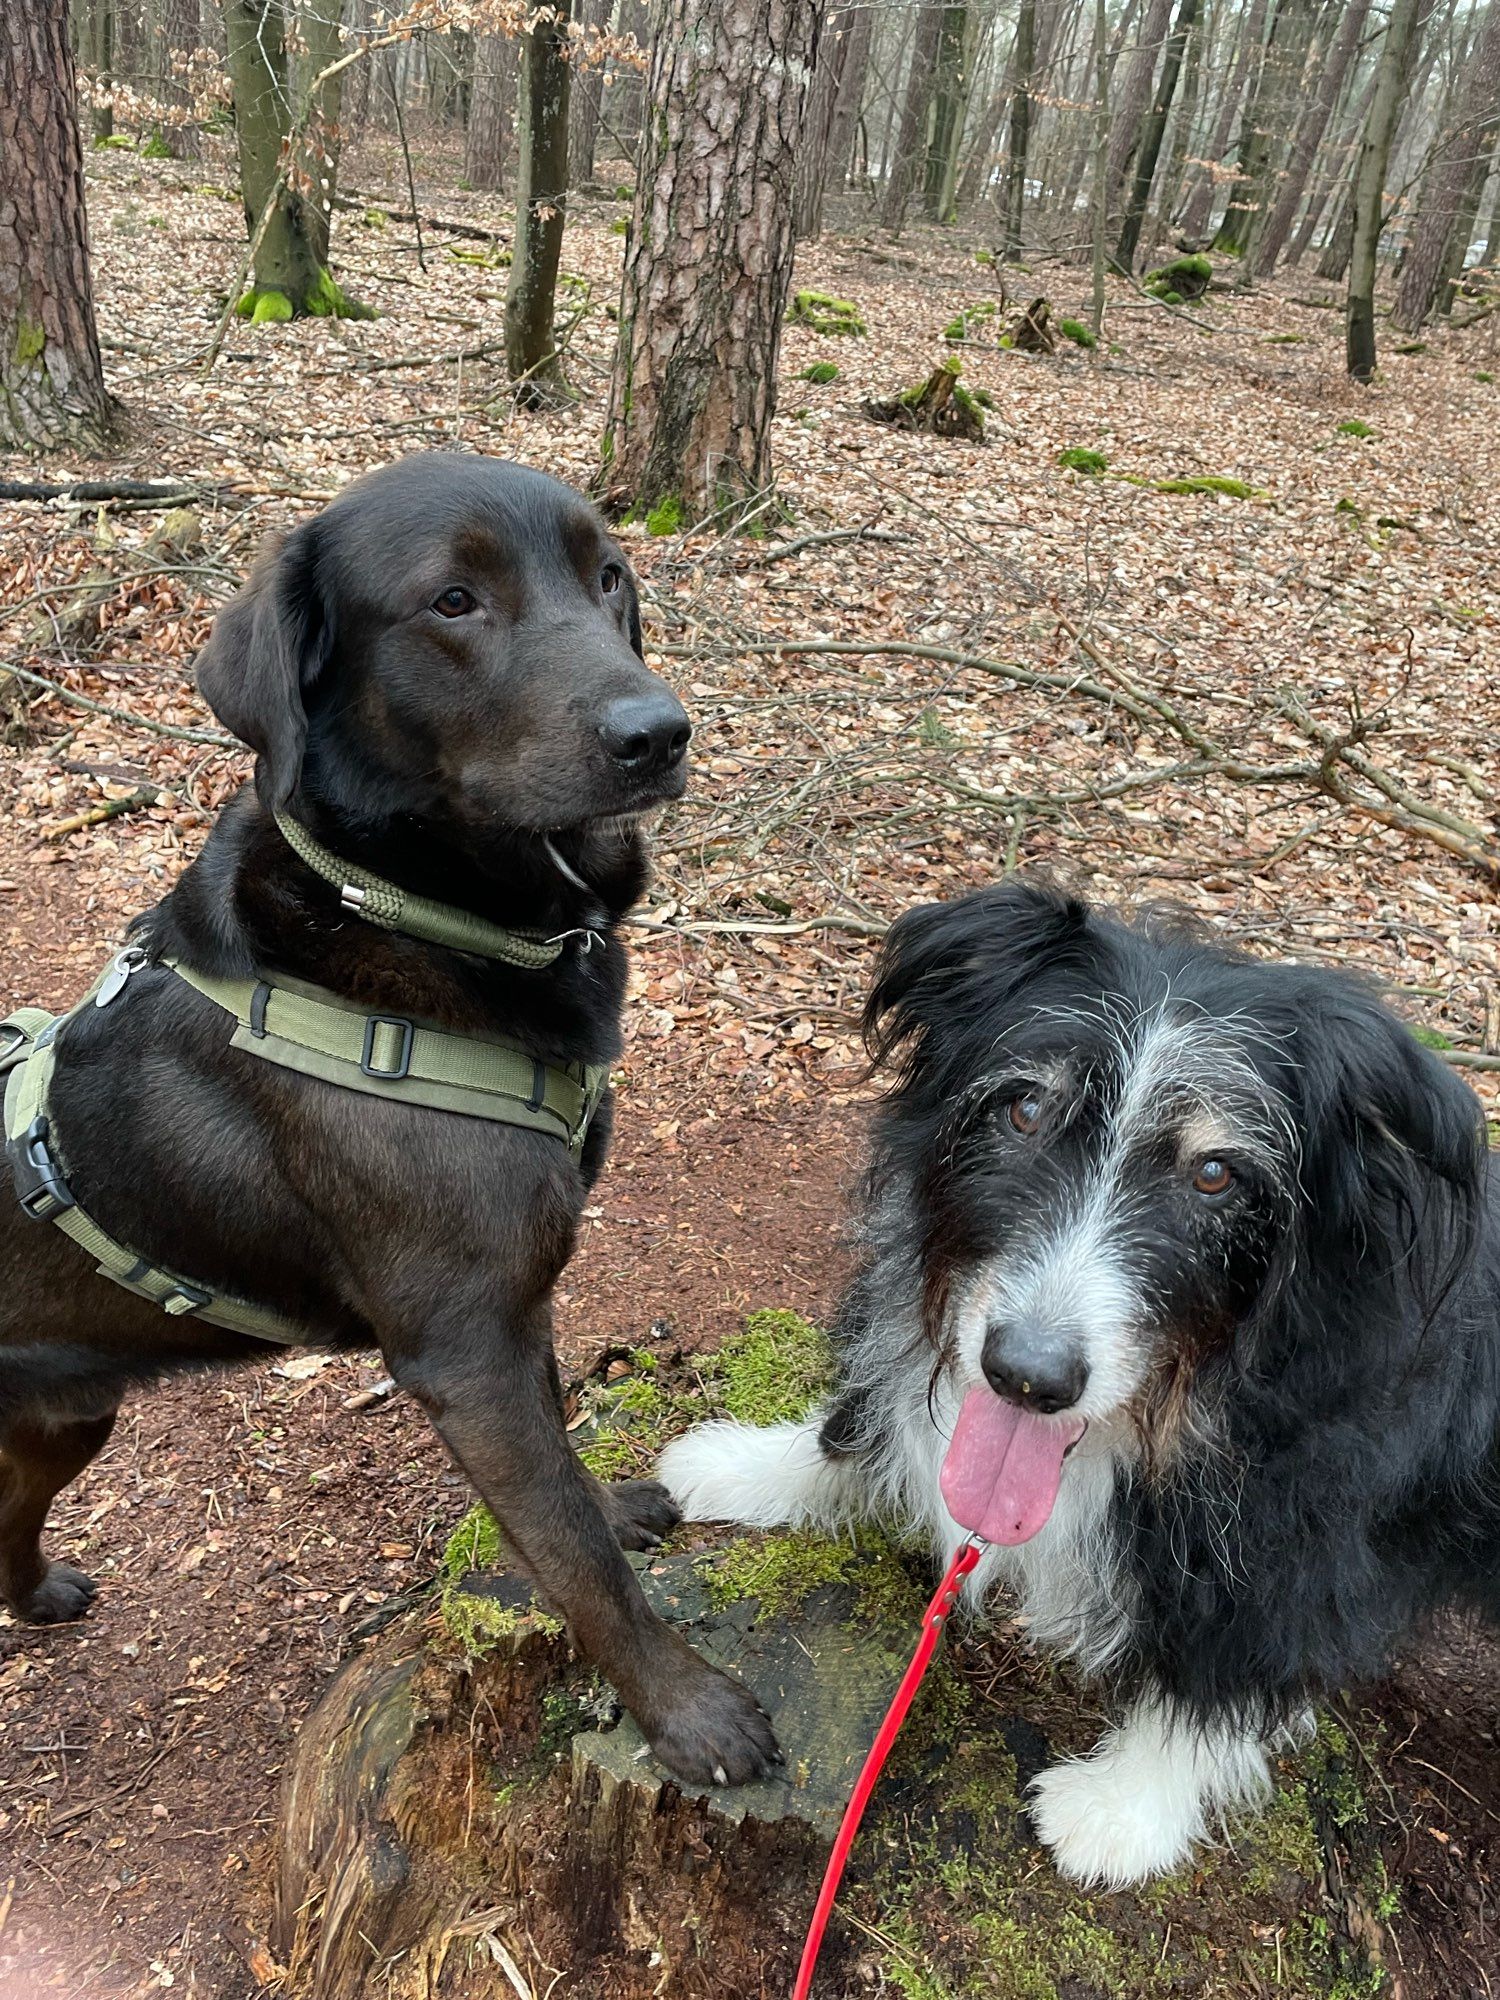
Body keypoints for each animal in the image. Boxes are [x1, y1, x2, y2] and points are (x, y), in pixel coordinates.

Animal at [2, 450, 788, 1784]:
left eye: (610, 575)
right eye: (452, 601)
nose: (659, 732)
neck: (415, 912)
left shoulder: (516, 1303)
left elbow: (565, 1455)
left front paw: (620, 1507)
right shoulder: (462, 1345)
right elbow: (570, 1553)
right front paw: (686, 1709)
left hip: (75, 1410)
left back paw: (36, 1592)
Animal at [660, 884, 1500, 1880]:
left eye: (1215, 1173)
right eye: (1025, 1110)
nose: (1027, 1378)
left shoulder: (1298, 1515)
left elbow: (1229, 1660)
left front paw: (1124, 1807)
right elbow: (877, 1423)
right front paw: (744, 1466)